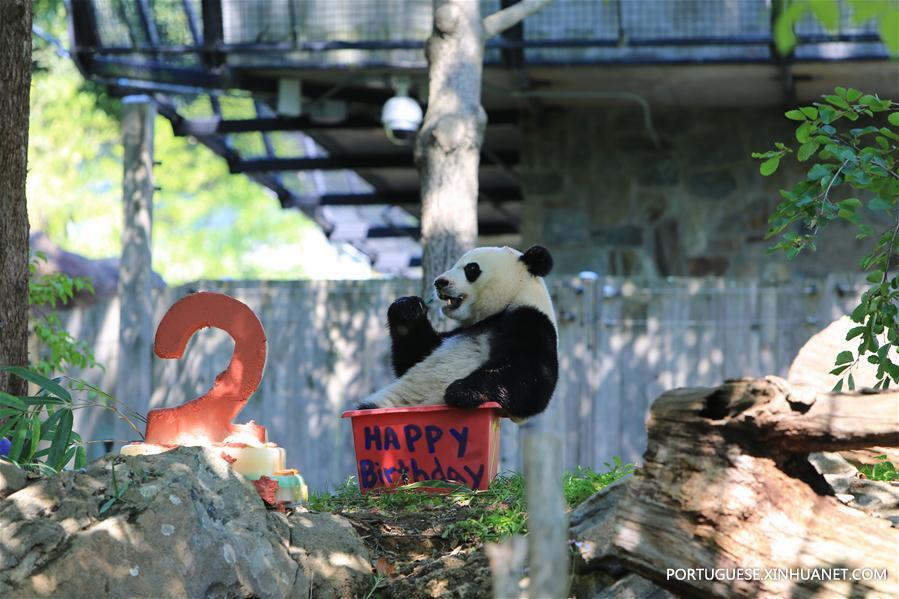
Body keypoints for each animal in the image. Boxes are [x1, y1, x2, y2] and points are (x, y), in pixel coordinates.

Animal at [356, 246, 556, 420]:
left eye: (471, 268)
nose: (439, 282)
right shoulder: (456, 332)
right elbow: (414, 356)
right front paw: (407, 308)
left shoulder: (531, 321)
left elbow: (530, 379)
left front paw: (462, 391)